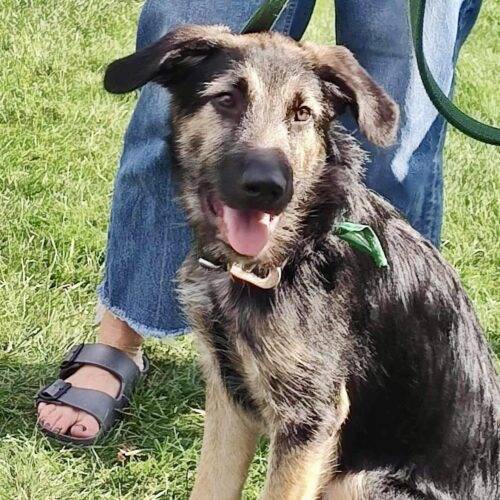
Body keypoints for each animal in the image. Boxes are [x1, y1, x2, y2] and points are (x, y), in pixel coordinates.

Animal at [103, 24, 498, 500]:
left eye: (303, 114)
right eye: (227, 99)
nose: (268, 187)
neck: (297, 252)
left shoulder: (310, 418)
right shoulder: (229, 395)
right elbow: (210, 486)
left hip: (360, 481)